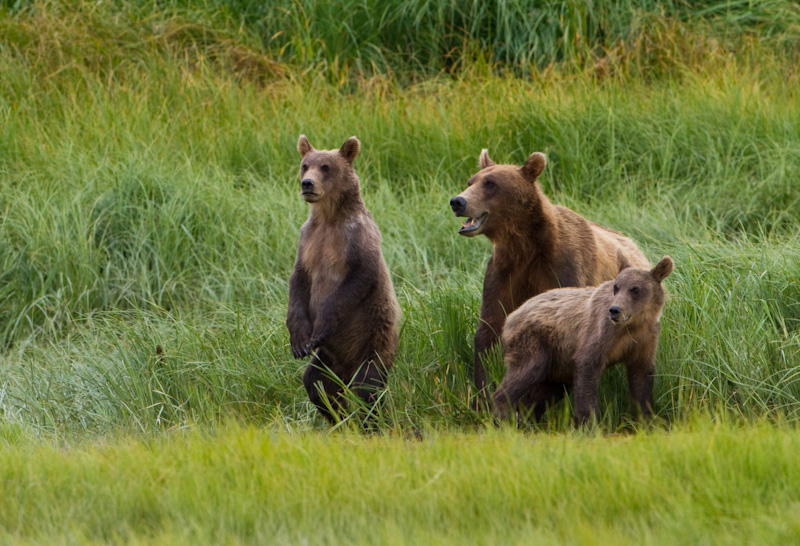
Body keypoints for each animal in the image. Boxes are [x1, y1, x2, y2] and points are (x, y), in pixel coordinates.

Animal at [286, 134, 400, 422]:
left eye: (326, 166)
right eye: (305, 165)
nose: (307, 183)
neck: (329, 218)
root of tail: (347, 368)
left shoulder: (356, 237)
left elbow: (358, 276)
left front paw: (320, 326)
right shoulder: (308, 240)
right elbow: (298, 281)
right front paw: (299, 341)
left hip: (374, 341)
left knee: (368, 387)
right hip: (328, 359)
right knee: (316, 383)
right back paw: (338, 417)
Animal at [450, 149, 648, 396]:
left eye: (490, 183)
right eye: (470, 181)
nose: (458, 201)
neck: (524, 246)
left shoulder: (562, 268)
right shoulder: (503, 272)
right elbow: (490, 327)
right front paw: (482, 392)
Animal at [494, 253, 676, 422]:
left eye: (635, 289)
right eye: (616, 287)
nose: (615, 310)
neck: (633, 325)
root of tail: (511, 316)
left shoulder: (645, 340)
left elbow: (641, 379)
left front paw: (648, 418)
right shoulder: (602, 334)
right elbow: (588, 367)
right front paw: (589, 421)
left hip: (558, 362)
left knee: (547, 390)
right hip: (535, 341)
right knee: (527, 370)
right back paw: (503, 415)